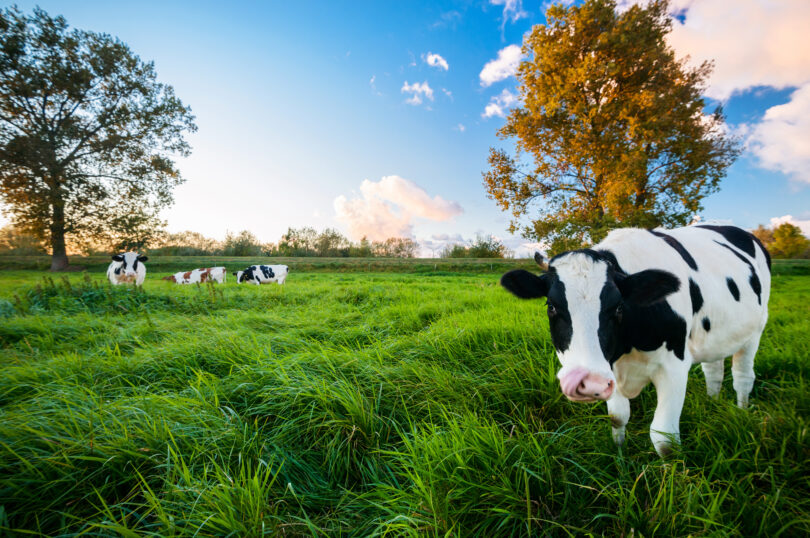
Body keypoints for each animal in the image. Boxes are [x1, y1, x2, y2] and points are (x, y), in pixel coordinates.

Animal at [498, 224, 772, 454]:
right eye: (551, 306)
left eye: (619, 307)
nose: (588, 382)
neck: (628, 347)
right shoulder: (611, 369)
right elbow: (617, 417)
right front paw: (620, 457)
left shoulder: (674, 367)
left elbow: (664, 439)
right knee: (713, 371)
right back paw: (711, 403)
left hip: (756, 330)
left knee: (743, 377)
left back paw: (742, 412)